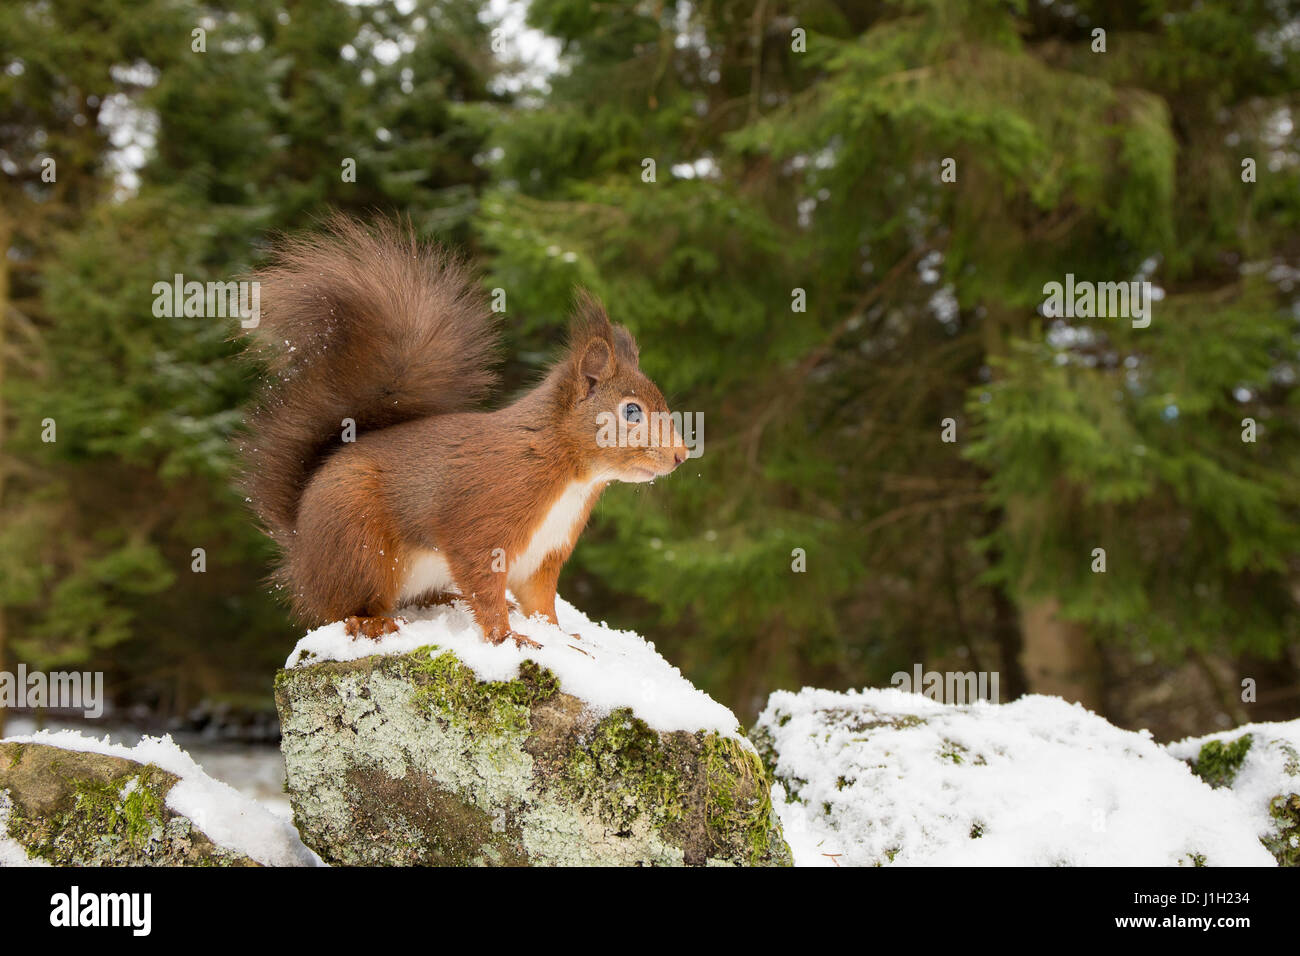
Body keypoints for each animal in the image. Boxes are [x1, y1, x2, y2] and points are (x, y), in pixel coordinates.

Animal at [243, 217, 691, 650]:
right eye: (631, 411)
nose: (681, 456)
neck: (569, 473)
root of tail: (300, 551)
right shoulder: (484, 521)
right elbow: (482, 582)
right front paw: (508, 636)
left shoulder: (545, 553)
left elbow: (541, 601)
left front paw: (560, 635)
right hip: (359, 543)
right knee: (344, 606)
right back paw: (371, 622)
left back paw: (446, 600)